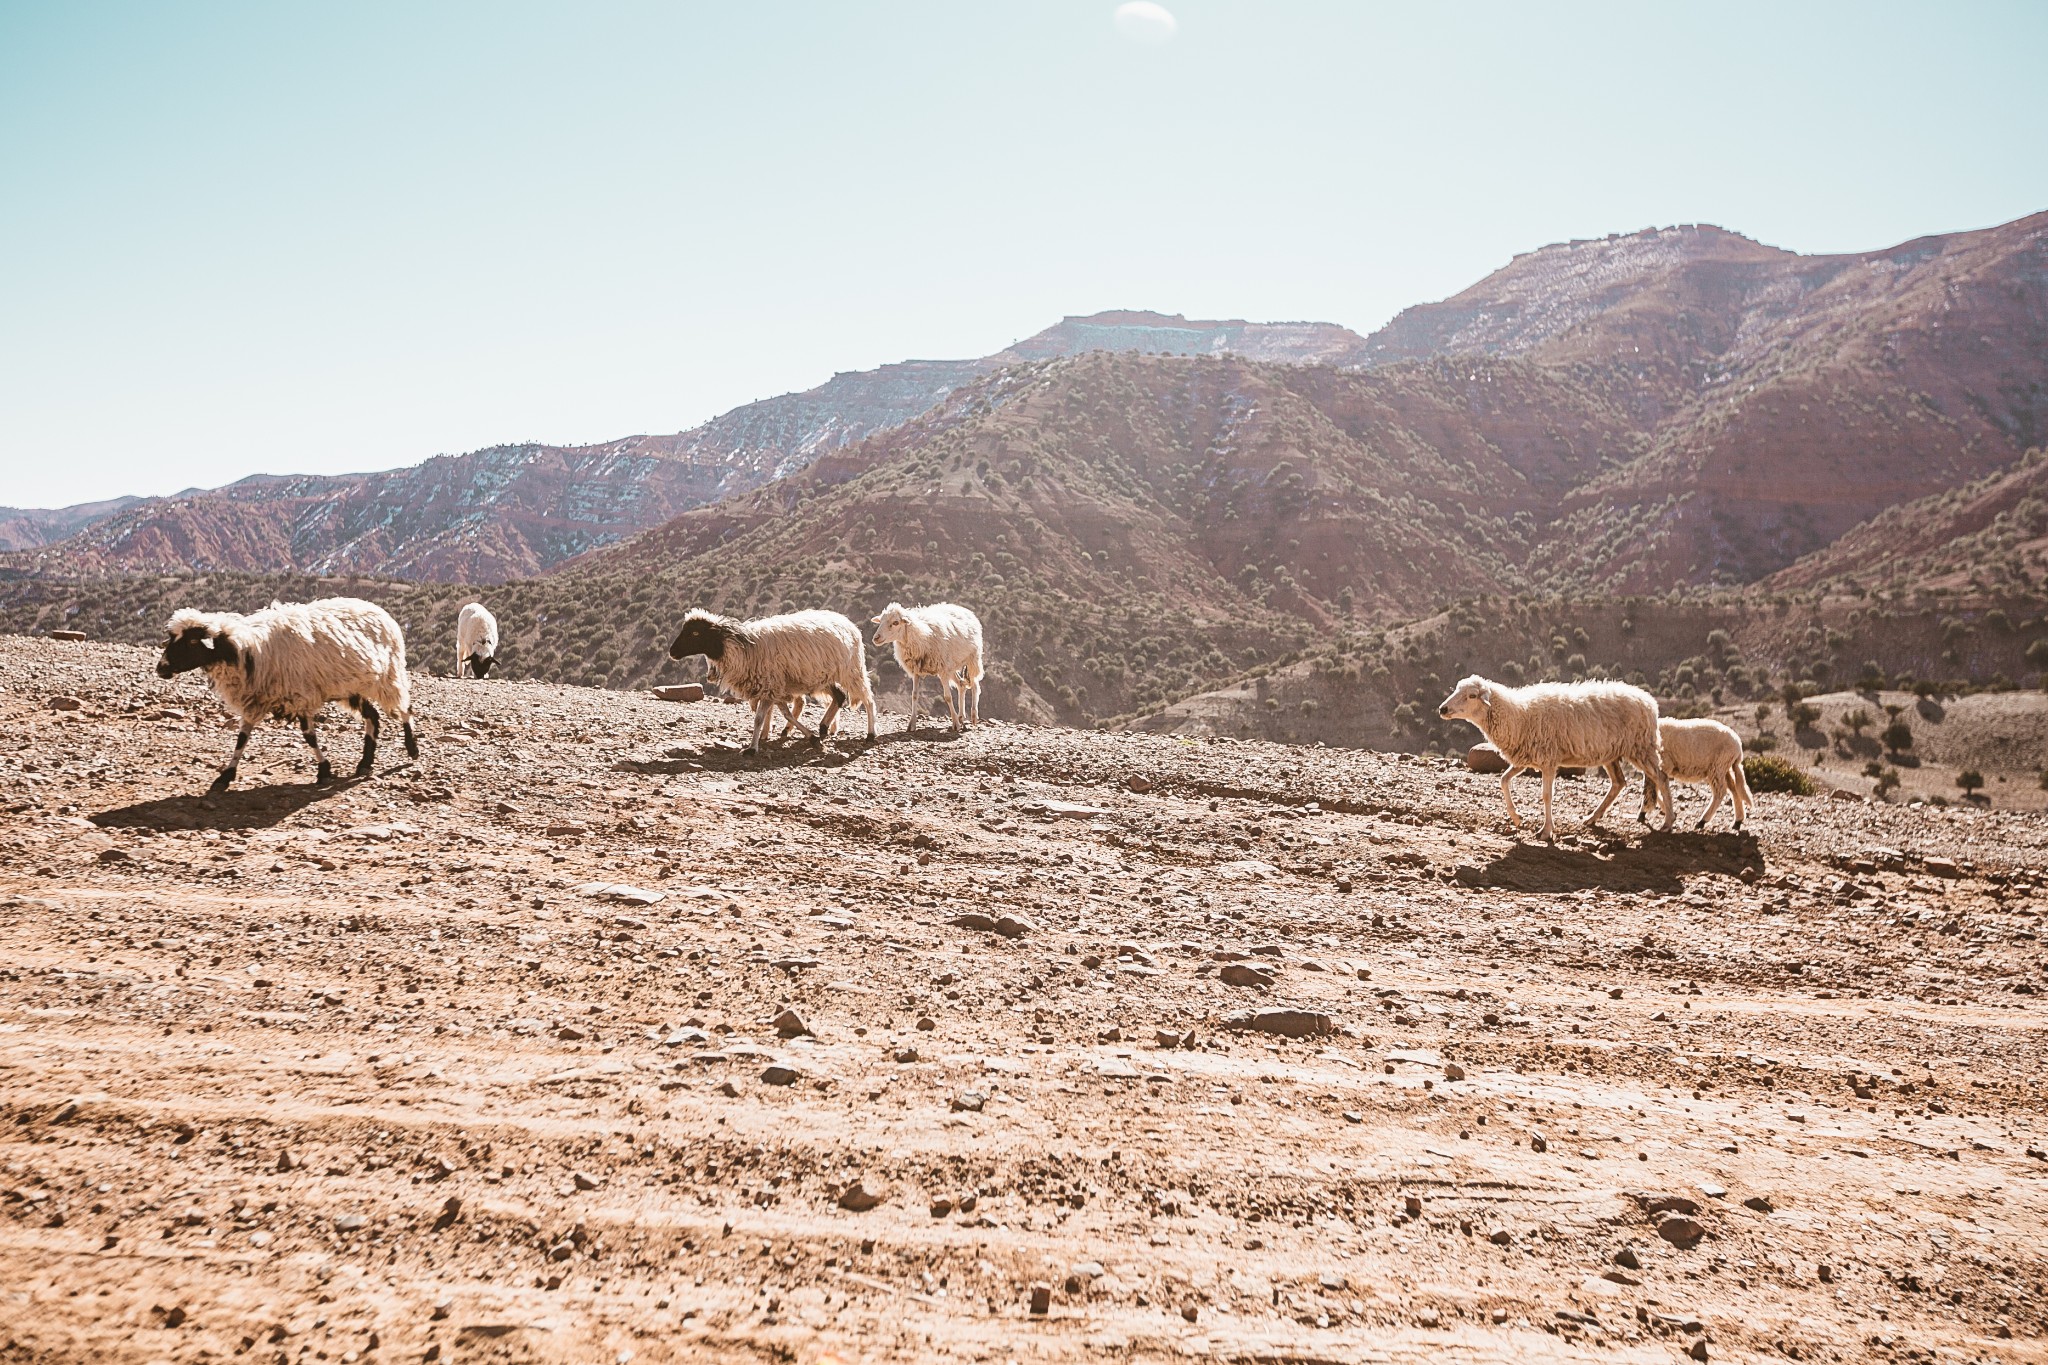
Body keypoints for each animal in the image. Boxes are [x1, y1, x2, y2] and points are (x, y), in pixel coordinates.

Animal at [156, 593, 423, 789]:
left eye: (192, 641)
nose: (161, 669)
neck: (245, 651)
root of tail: (378, 609)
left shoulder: (300, 696)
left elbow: (309, 737)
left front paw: (324, 771)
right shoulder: (255, 700)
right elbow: (242, 738)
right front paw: (225, 776)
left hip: (388, 675)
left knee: (404, 709)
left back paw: (412, 749)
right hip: (351, 687)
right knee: (373, 717)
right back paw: (365, 762)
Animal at [663, 609, 872, 757]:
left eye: (695, 633)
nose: (672, 652)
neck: (740, 647)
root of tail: (848, 623)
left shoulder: (770, 684)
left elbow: (759, 718)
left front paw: (751, 748)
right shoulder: (773, 687)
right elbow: (786, 714)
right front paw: (811, 737)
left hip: (851, 670)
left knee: (868, 699)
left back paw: (871, 733)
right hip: (824, 676)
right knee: (839, 696)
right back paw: (823, 728)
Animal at [868, 601, 987, 732]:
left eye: (895, 622)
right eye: (881, 621)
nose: (876, 638)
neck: (920, 635)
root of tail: (964, 609)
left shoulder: (943, 670)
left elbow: (947, 697)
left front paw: (955, 723)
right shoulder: (916, 670)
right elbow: (914, 696)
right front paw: (912, 724)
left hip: (972, 658)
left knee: (975, 685)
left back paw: (973, 716)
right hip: (952, 666)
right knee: (961, 685)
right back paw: (961, 716)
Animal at [1433, 675, 1671, 843]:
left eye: (1472, 695)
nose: (1442, 709)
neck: (1518, 716)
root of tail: (1648, 700)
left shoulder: (1548, 760)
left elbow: (1546, 795)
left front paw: (1546, 831)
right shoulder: (1525, 759)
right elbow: (1503, 780)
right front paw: (1517, 817)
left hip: (1641, 747)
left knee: (1661, 777)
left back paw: (1668, 822)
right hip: (1610, 753)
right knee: (1619, 782)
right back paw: (1592, 818)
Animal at [1630, 716, 1761, 834]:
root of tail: (1738, 745)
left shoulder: (1663, 764)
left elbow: (1651, 788)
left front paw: (1646, 813)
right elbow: (1650, 788)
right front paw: (1645, 812)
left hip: (1717, 766)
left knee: (1720, 792)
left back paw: (1702, 821)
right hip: (1724, 767)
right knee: (1734, 789)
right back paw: (1737, 822)